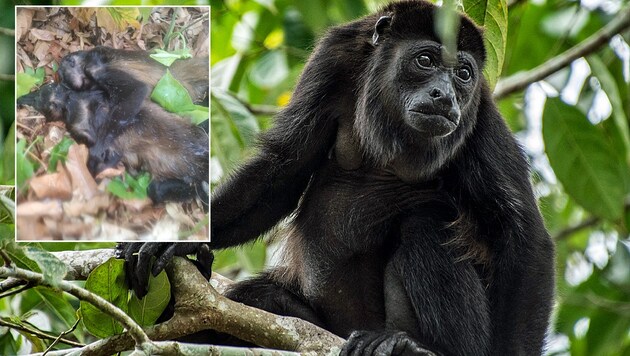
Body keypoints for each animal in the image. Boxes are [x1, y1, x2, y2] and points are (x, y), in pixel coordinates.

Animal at [121, 1, 556, 354]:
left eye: (464, 73)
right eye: (426, 60)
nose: (445, 96)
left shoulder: (480, 113)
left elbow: (525, 235)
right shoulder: (333, 58)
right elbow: (283, 169)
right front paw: (176, 243)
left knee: (427, 225)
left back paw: (413, 345)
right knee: (261, 302)